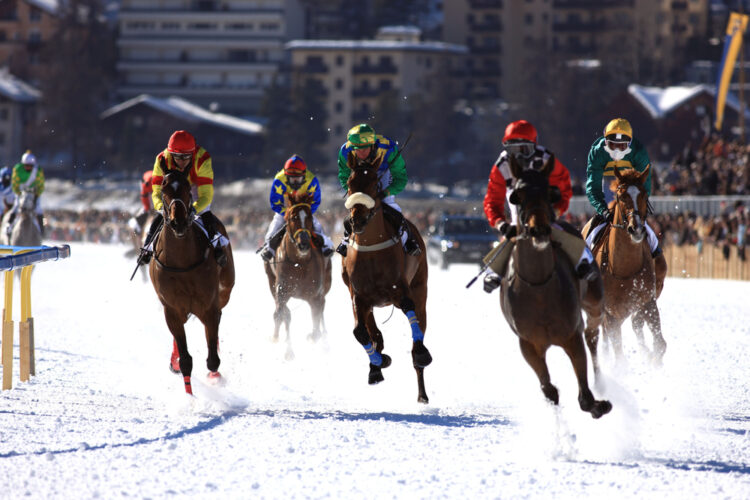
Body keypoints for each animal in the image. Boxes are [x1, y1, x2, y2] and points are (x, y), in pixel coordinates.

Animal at [150, 172, 235, 394]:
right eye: (164, 189)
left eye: (188, 189)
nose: (178, 222)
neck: (182, 262)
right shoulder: (171, 308)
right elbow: (186, 358)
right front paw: (190, 398)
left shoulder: (208, 306)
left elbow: (213, 358)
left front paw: (215, 379)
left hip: (224, 291)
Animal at [266, 189, 334, 358]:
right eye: (293, 217)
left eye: (309, 216)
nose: (303, 243)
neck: (299, 263)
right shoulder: (282, 291)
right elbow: (285, 314)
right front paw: (288, 350)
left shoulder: (315, 295)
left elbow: (316, 325)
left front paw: (313, 337)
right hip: (271, 281)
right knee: (280, 312)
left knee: (321, 311)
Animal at [342, 162, 434, 404]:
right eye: (350, 183)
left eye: (375, 183)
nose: (357, 220)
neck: (371, 249)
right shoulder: (358, 295)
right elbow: (359, 331)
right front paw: (378, 363)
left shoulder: (400, 290)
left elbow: (410, 310)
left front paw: (420, 354)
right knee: (371, 330)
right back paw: (376, 362)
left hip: (420, 286)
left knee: (418, 325)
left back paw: (422, 392)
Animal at [500, 155, 612, 418]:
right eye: (517, 196)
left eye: (550, 192)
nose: (538, 229)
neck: (539, 287)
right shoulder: (529, 343)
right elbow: (549, 390)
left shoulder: (571, 334)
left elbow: (585, 396)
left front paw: (598, 404)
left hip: (593, 299)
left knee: (593, 333)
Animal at [584, 166, 668, 366]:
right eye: (622, 196)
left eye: (644, 194)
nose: (636, 228)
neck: (624, 267)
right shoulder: (609, 311)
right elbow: (618, 352)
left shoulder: (647, 300)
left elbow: (659, 344)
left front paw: (653, 359)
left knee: (636, 323)